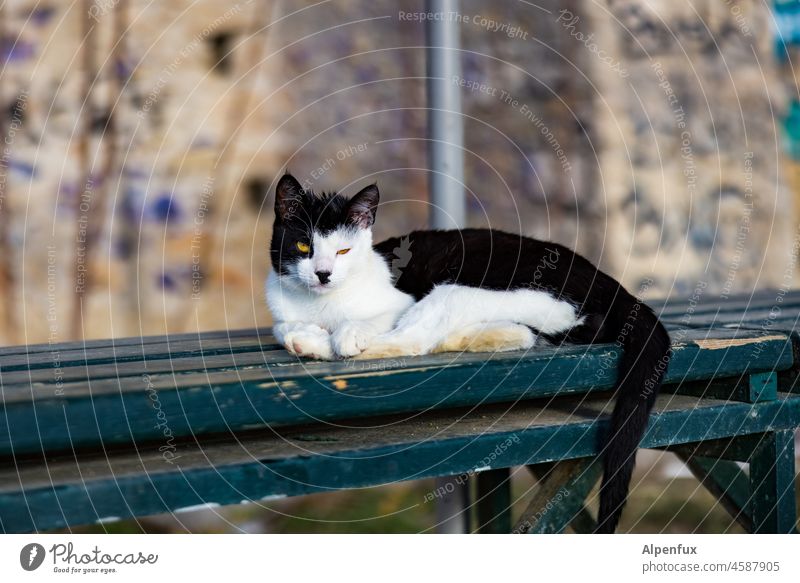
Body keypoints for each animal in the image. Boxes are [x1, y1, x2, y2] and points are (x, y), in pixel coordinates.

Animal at [268, 172, 668, 532]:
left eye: (343, 250)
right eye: (303, 247)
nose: (323, 274)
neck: (320, 307)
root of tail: (609, 284)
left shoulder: (399, 302)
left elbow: (371, 322)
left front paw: (342, 335)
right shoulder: (282, 311)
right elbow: (280, 326)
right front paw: (301, 333)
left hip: (465, 288)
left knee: (417, 336)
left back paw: (325, 345)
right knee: (524, 334)